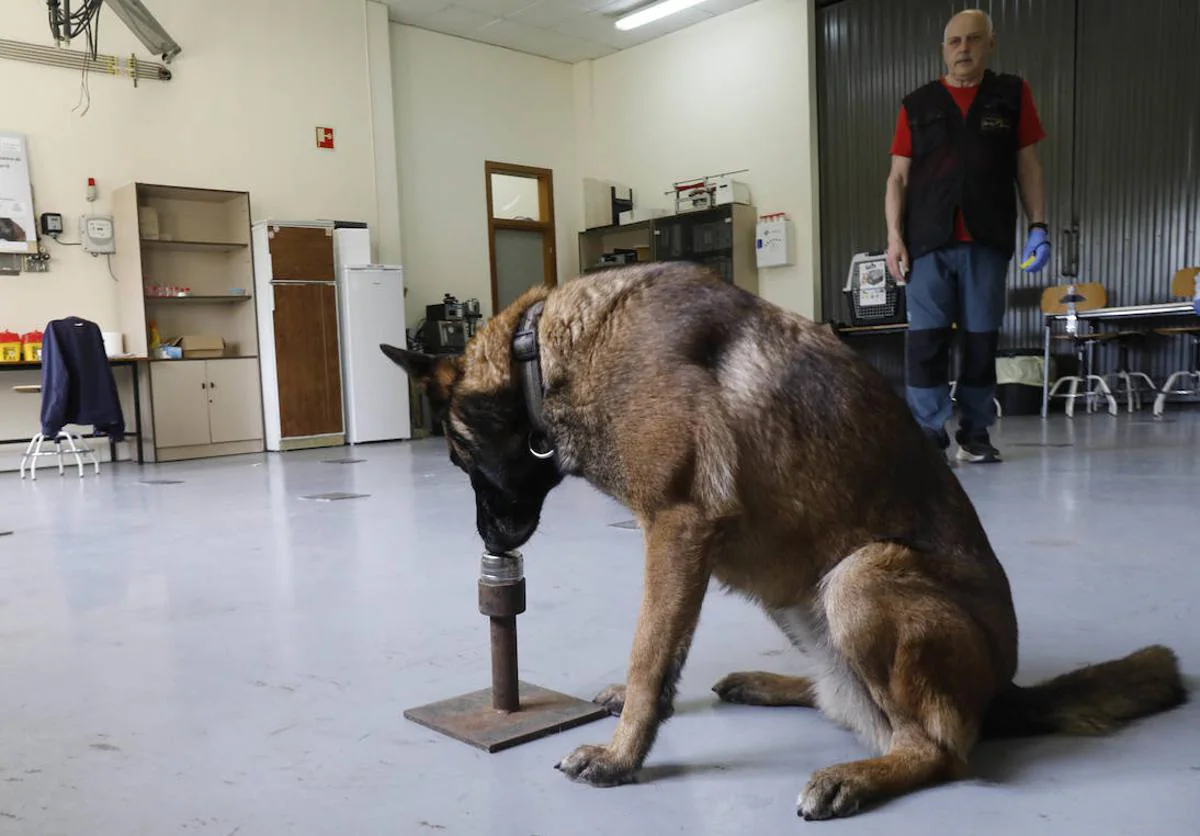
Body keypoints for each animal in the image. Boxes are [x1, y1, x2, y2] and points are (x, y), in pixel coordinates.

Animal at [379, 262, 1185, 820]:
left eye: (456, 456)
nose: (490, 538)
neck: (543, 353)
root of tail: (1002, 690)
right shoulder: (687, 545)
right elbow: (661, 658)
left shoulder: (677, 527)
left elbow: (650, 653)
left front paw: (622, 754)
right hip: (797, 591)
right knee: (850, 702)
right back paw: (775, 686)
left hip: (861, 576)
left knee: (937, 748)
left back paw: (857, 777)